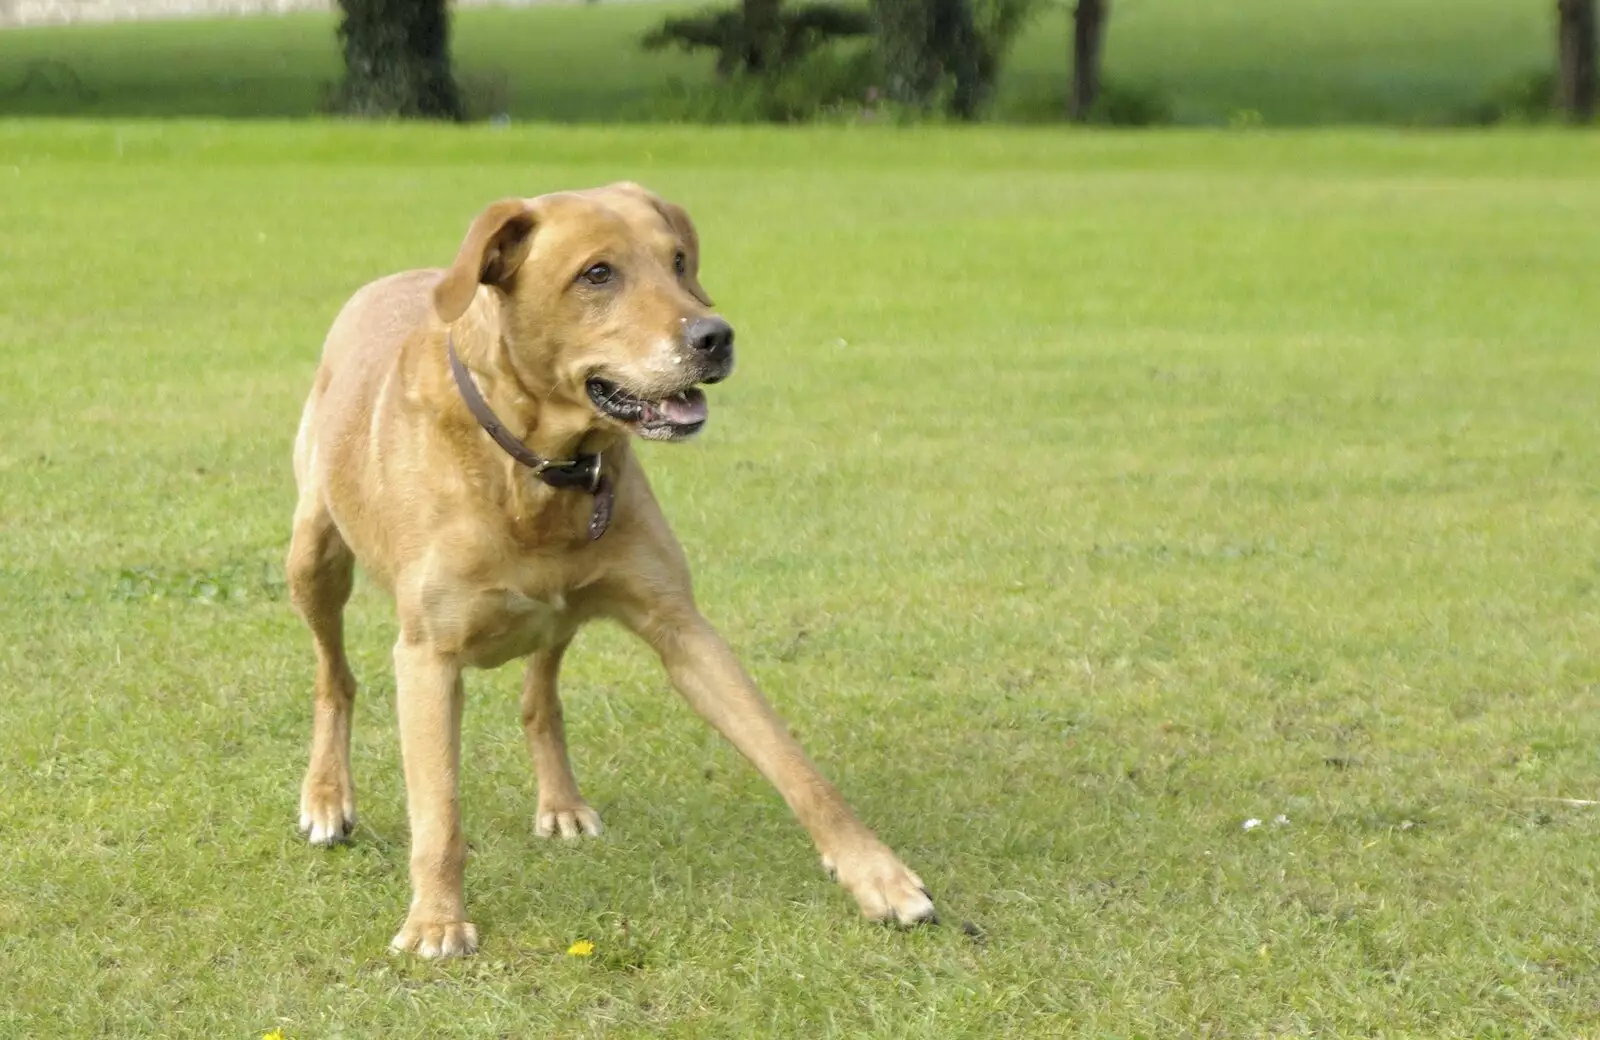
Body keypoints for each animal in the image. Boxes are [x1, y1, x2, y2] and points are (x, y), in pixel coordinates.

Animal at [288, 182, 934, 953]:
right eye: (597, 274)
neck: (535, 470)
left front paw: (876, 873)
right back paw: (328, 796)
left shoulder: (680, 625)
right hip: (313, 556)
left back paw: (560, 801)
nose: (715, 336)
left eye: (679, 260)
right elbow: (438, 811)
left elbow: (791, 761)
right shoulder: (428, 656)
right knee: (335, 678)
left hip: (559, 615)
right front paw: (437, 920)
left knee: (540, 699)